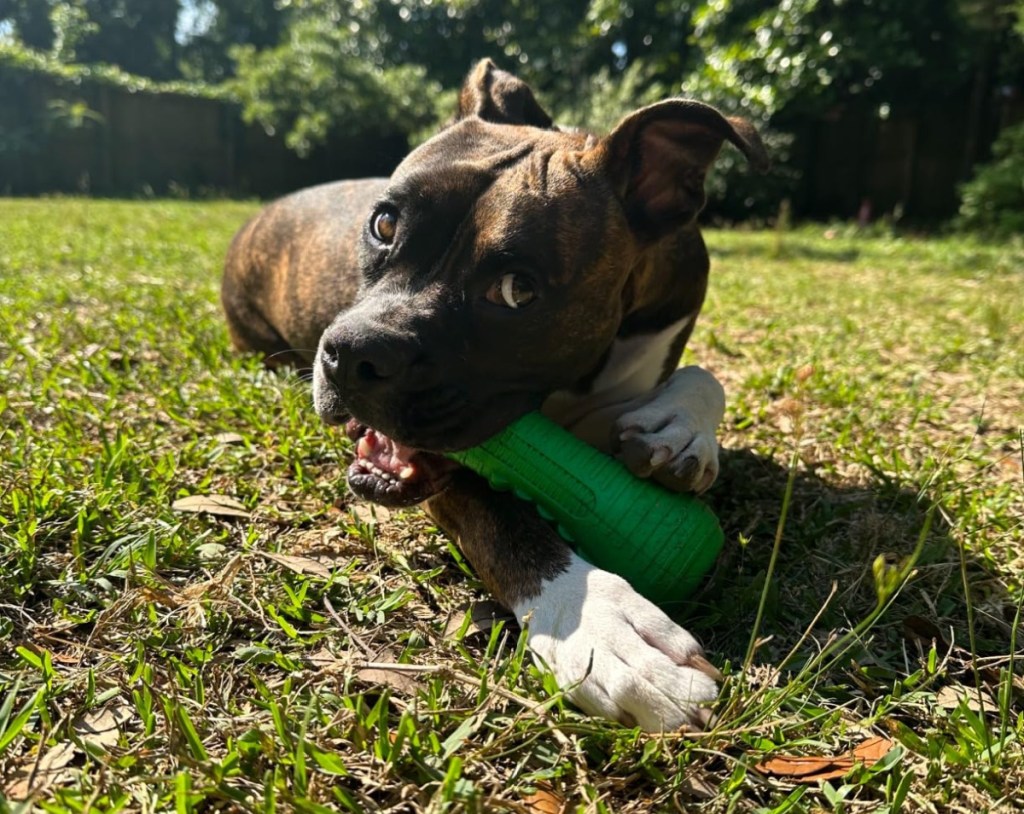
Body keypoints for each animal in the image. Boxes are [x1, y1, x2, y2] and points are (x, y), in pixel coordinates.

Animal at [224, 57, 770, 733]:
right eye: (384, 224)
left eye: (516, 291)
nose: (351, 353)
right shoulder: (456, 476)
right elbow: (504, 520)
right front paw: (605, 629)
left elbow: (703, 374)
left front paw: (680, 428)